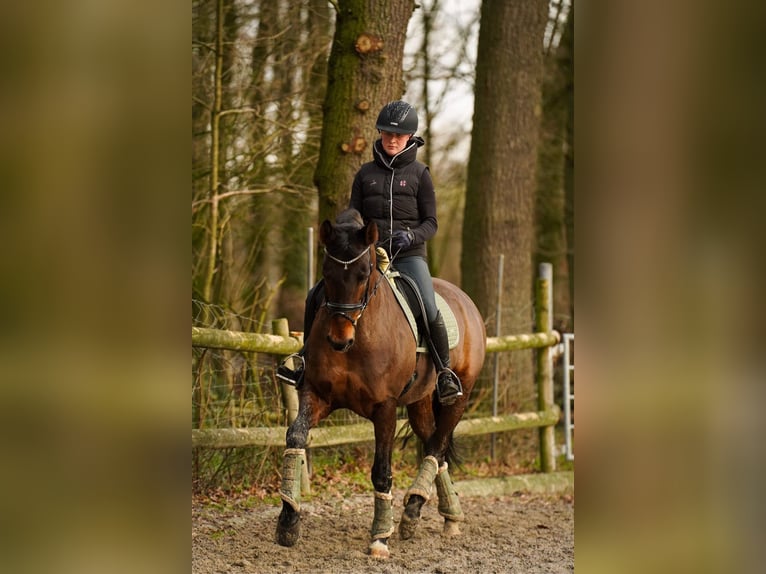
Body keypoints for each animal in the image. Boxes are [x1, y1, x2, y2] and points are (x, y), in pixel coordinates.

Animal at [280, 209, 488, 560]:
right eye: (326, 272)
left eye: (364, 274)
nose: (339, 340)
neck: (360, 337)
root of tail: (463, 299)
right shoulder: (317, 395)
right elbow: (295, 437)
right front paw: (288, 520)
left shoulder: (385, 408)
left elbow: (381, 471)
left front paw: (379, 537)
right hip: (419, 402)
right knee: (435, 445)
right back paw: (444, 515)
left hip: (459, 397)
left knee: (436, 446)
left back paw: (415, 509)